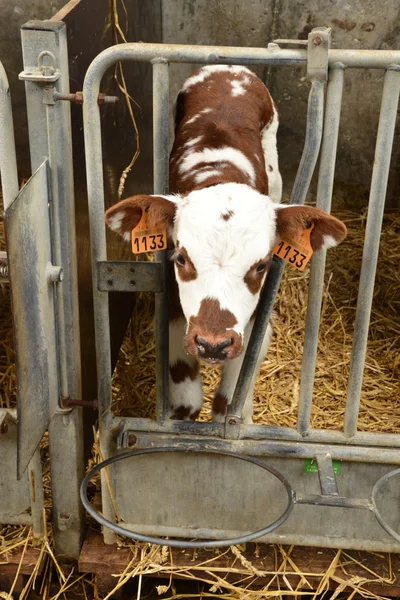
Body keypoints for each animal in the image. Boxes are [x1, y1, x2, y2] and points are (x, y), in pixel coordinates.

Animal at [105, 64, 346, 422]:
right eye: (181, 258)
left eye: (261, 265)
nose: (213, 344)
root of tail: (229, 68)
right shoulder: (174, 314)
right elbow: (187, 400)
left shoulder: (256, 326)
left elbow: (229, 404)